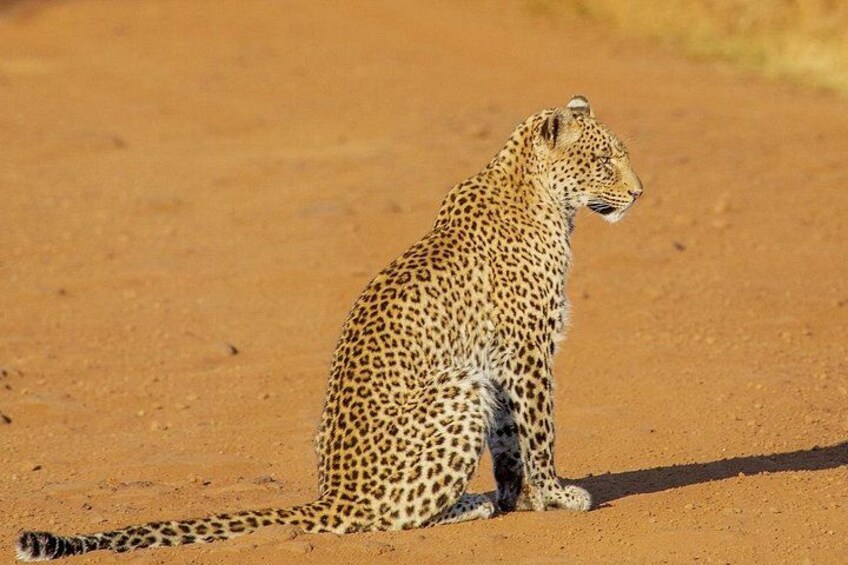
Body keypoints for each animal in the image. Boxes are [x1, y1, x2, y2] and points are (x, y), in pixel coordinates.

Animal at [16, 95, 643, 561]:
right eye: (604, 162)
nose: (639, 192)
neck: (545, 202)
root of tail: (332, 496)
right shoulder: (526, 352)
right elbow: (539, 432)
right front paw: (556, 494)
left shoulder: (508, 360)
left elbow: (512, 440)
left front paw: (526, 499)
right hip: (460, 388)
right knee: (393, 519)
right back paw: (472, 505)